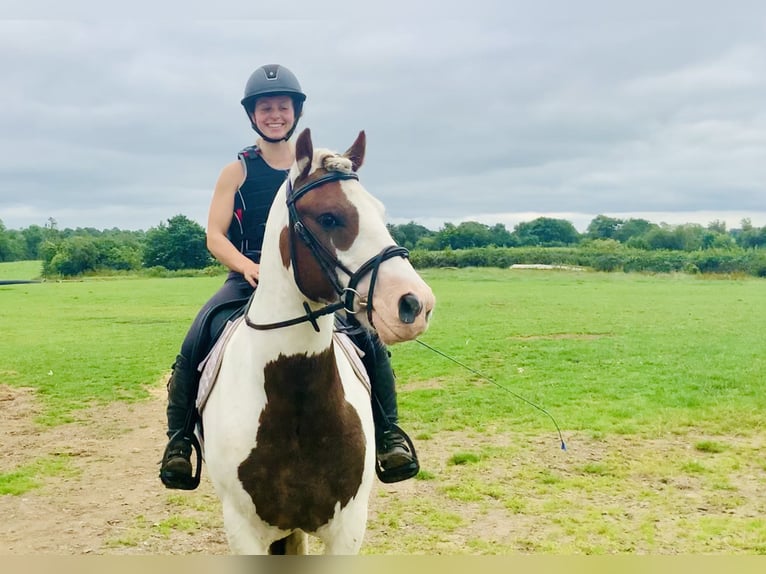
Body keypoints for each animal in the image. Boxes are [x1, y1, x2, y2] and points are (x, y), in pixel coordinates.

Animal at [200, 128, 438, 556]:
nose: (415, 304)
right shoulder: (243, 531)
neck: (295, 403)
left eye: (380, 212)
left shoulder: (348, 527)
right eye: (330, 217)